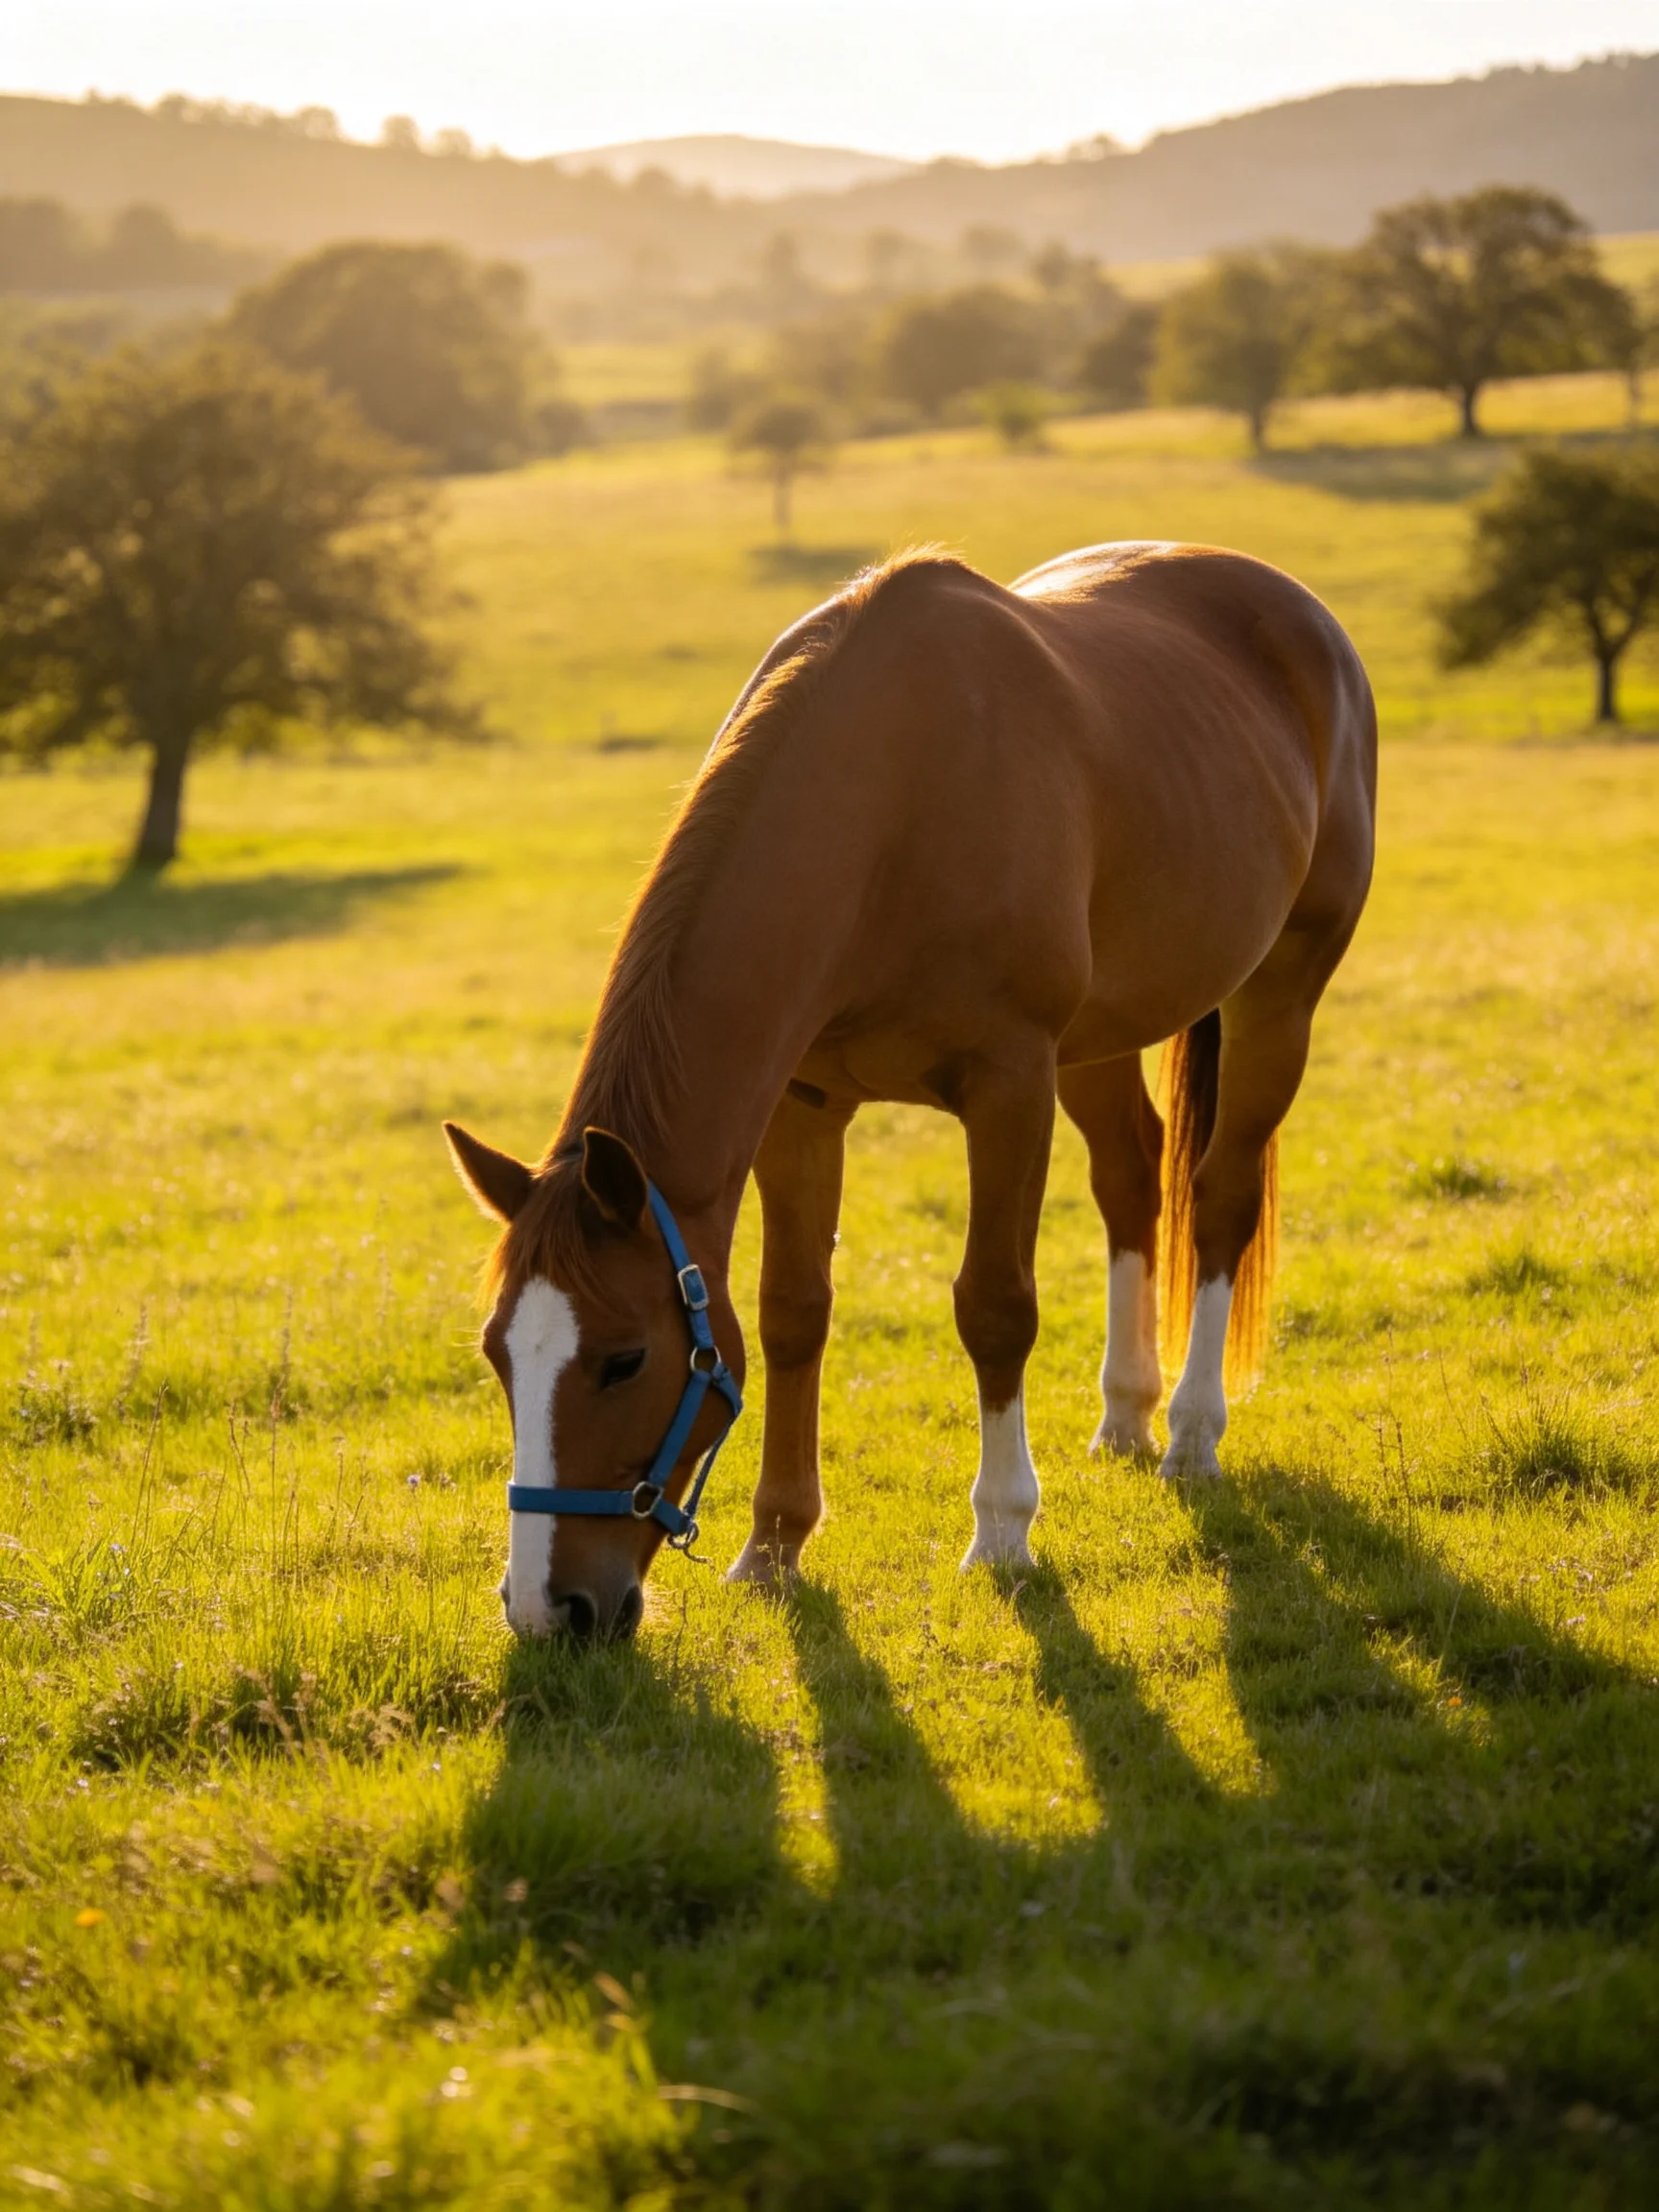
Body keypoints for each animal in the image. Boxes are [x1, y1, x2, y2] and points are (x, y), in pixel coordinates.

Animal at [445, 542, 1377, 1639]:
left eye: (625, 1358)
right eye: (499, 1353)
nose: (548, 1609)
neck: (891, 812)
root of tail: (1294, 609)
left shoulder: (1009, 1084)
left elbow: (995, 1306)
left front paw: (1004, 1532)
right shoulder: (803, 1107)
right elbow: (792, 1310)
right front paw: (774, 1545)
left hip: (1279, 996)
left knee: (1221, 1192)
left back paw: (1191, 1433)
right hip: (1099, 1041)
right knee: (1133, 1178)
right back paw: (1125, 1414)